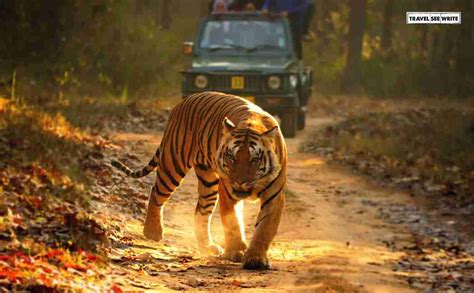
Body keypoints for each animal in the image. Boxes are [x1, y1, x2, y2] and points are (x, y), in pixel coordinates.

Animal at [113, 92, 286, 270]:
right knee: (156, 192)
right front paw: (236, 251)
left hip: (208, 182)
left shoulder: (274, 196)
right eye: (231, 157)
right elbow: (233, 222)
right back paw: (152, 231)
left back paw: (207, 246)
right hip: (173, 164)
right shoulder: (227, 192)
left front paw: (255, 258)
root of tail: (183, 101)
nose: (239, 182)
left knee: (201, 211)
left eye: (254, 159)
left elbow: (264, 228)